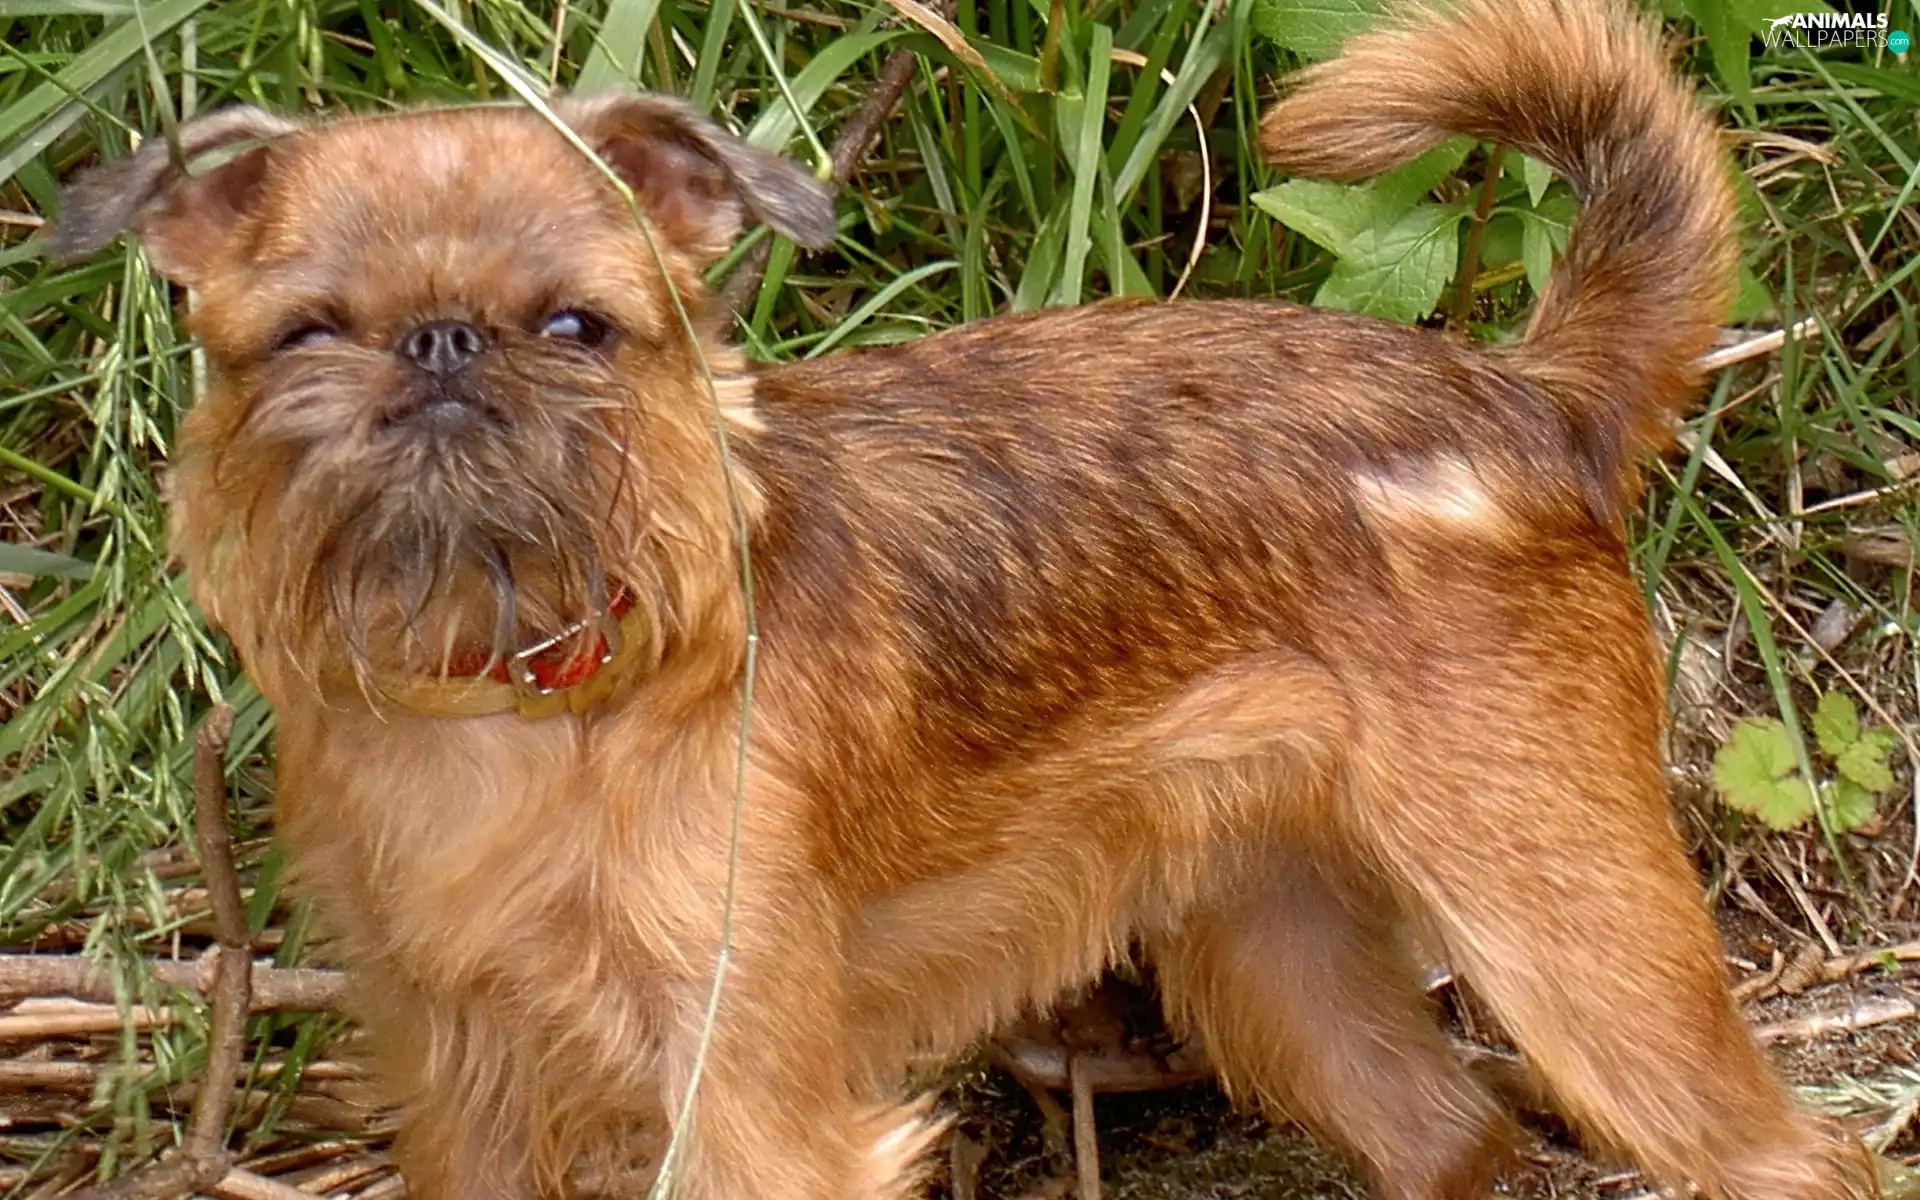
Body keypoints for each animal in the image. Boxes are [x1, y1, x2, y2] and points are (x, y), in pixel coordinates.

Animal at [51, 0, 1879, 1197]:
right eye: (307, 333)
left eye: (577, 327)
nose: (440, 348)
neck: (515, 687)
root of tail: (1522, 399)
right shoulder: (461, 1079)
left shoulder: (752, 1102)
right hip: (1274, 948)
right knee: (1448, 1132)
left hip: (1575, 931)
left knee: (1793, 1156)